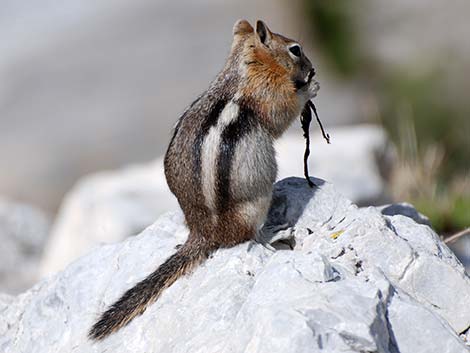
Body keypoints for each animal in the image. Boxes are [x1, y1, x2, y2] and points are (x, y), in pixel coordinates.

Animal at [88, 18, 320, 338]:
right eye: (295, 50)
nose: (312, 67)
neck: (241, 70)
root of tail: (203, 234)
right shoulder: (269, 95)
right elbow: (283, 113)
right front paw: (310, 88)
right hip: (254, 206)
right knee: (249, 236)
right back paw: (275, 233)